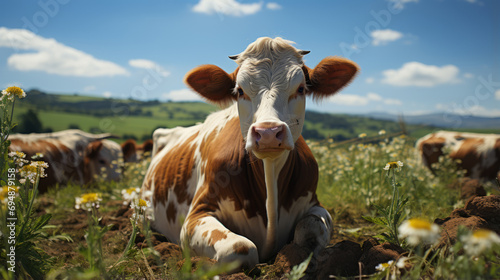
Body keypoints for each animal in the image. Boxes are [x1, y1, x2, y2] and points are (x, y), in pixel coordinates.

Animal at [141, 36, 360, 268]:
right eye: (240, 91)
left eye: (301, 89)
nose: (268, 132)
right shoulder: (197, 213)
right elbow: (241, 247)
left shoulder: (316, 204)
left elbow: (310, 232)